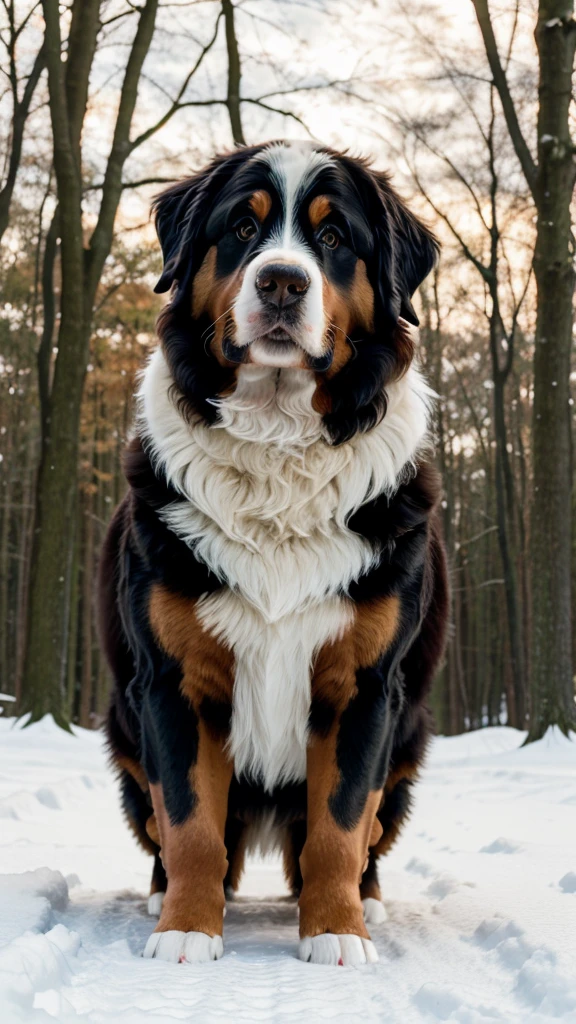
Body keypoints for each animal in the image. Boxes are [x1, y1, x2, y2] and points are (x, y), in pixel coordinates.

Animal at [98, 140, 448, 962]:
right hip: (122, 727)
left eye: (334, 237)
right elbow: (190, 821)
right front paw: (186, 931)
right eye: (241, 228)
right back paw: (165, 894)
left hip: (410, 736)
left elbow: (340, 825)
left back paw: (368, 900)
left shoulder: (365, 685)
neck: (277, 440)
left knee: (370, 831)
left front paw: (339, 933)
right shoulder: (172, 679)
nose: (282, 281)